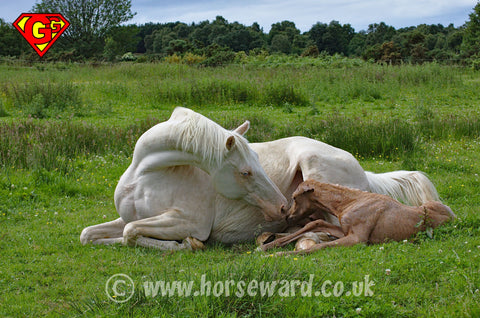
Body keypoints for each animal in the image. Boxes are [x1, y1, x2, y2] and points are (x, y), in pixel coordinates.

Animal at [80, 108, 440, 250]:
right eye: (245, 171)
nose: (281, 208)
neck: (145, 175)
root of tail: (365, 174)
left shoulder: (189, 221)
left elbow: (131, 232)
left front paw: (186, 245)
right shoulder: (128, 216)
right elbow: (93, 234)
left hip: (318, 174)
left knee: (325, 229)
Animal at [260, 180, 456, 255]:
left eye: (294, 197)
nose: (287, 217)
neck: (349, 203)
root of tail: (455, 217)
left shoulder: (358, 238)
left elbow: (318, 246)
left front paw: (278, 254)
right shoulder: (346, 231)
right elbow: (316, 223)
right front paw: (267, 246)